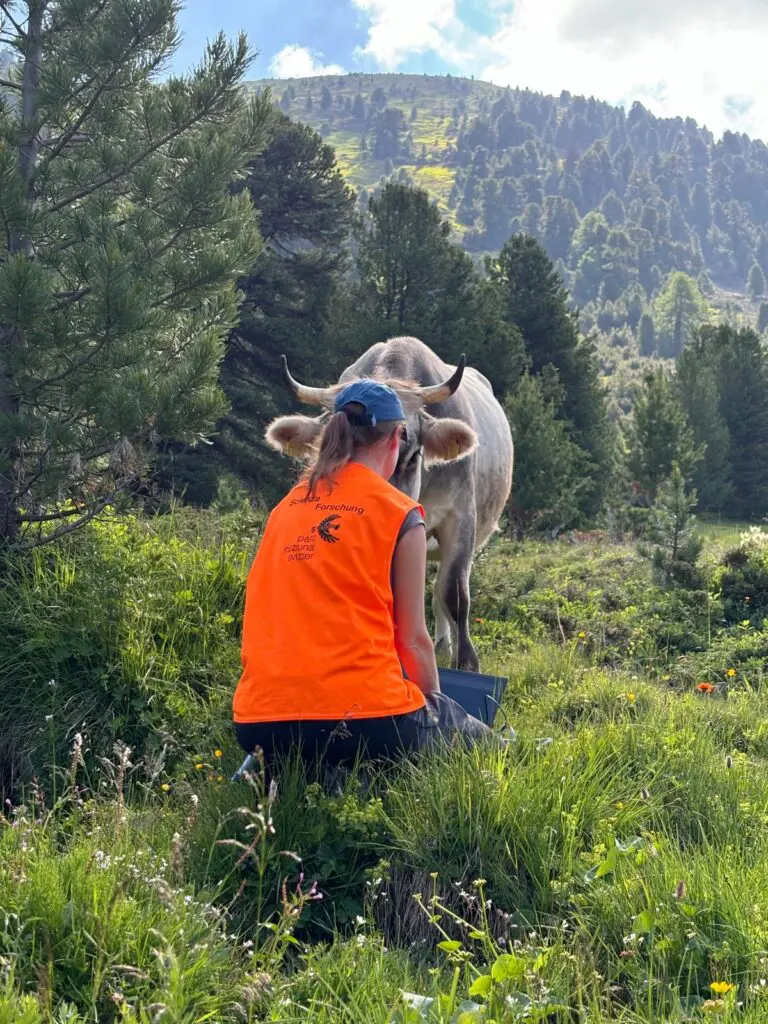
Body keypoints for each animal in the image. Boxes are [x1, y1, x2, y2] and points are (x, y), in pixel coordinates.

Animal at [265, 335, 514, 672]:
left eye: (411, 456)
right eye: (329, 452)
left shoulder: (460, 515)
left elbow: (454, 593)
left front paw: (466, 661)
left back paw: (443, 646)